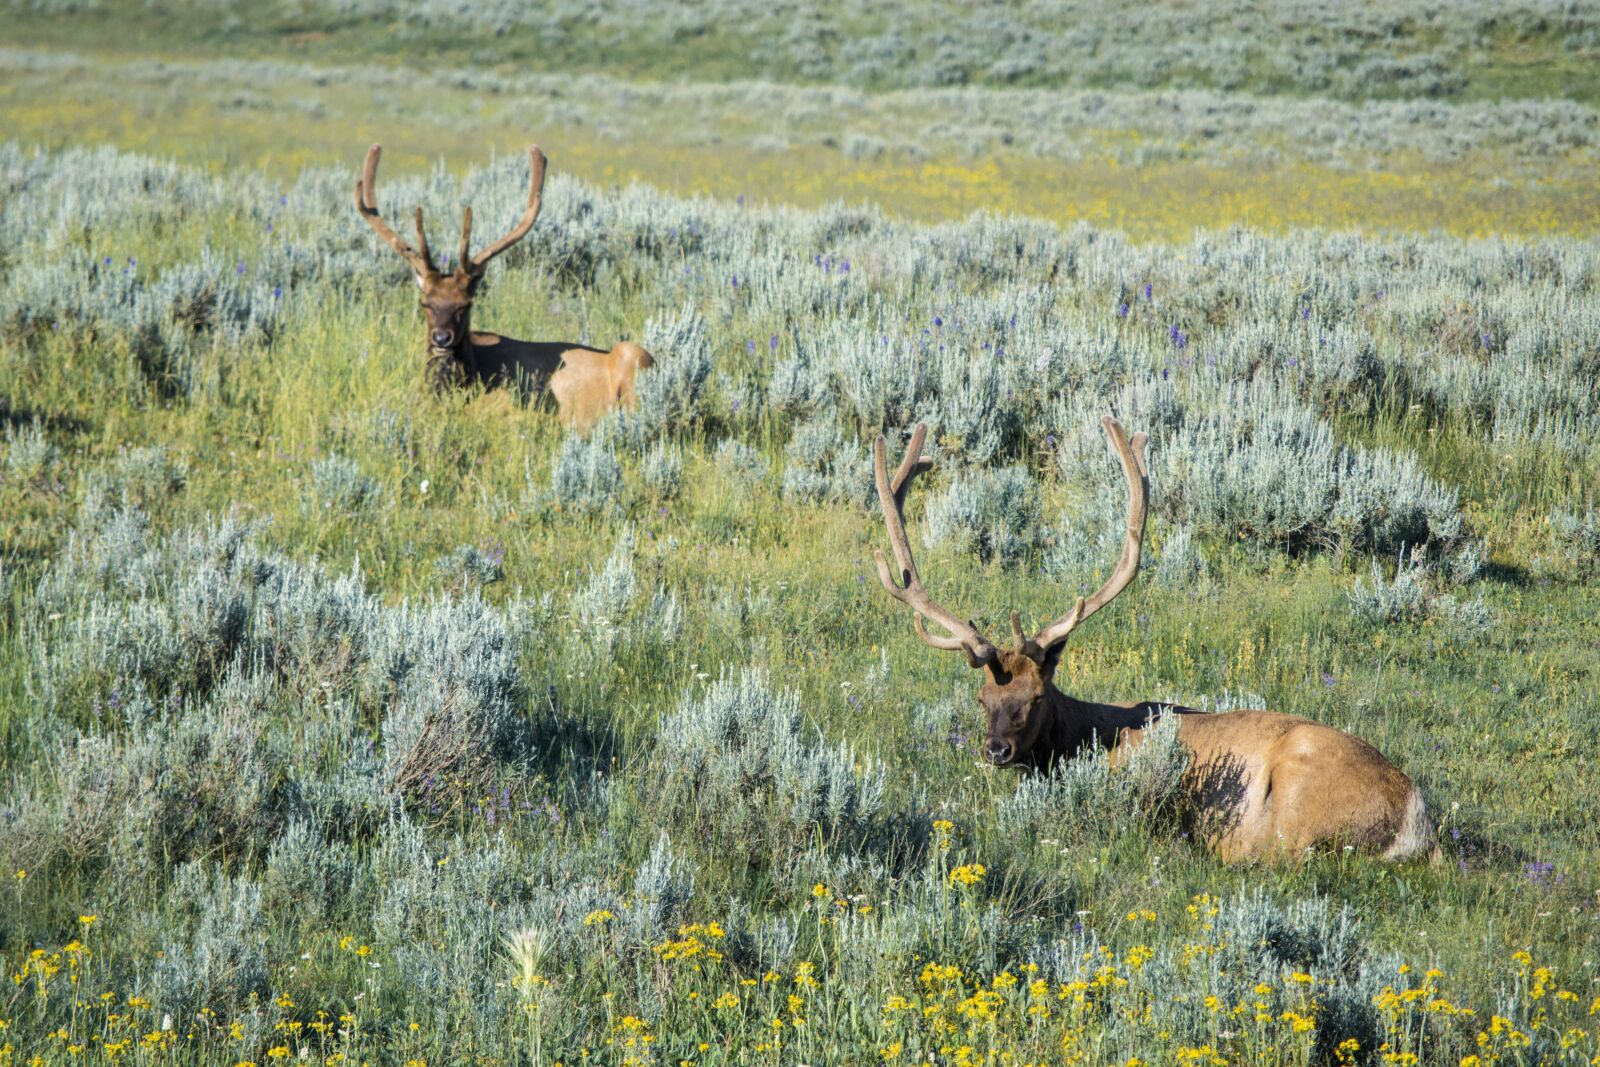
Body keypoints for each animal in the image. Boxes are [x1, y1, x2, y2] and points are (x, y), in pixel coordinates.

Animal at [873, 417, 1438, 863]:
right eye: (983, 696)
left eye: (1035, 696)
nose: (996, 749)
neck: (1083, 738)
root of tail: (1418, 824)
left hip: (1298, 795)